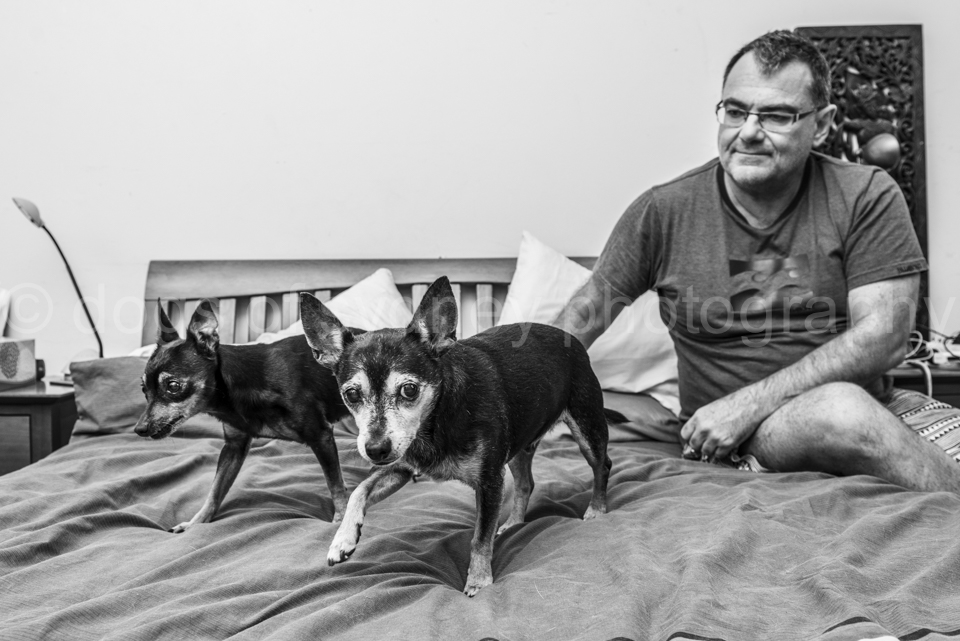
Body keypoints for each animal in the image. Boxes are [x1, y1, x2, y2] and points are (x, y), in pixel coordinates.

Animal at [134, 300, 351, 532]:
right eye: (143, 389)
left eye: (173, 386)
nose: (139, 429)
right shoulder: (234, 446)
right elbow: (215, 491)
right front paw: (195, 523)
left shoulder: (321, 436)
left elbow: (335, 484)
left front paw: (341, 519)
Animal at [300, 276, 612, 596]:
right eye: (351, 394)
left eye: (409, 390)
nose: (375, 449)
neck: (434, 423)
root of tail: (571, 339)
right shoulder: (400, 467)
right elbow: (359, 490)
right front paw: (342, 539)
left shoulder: (489, 482)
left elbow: (480, 538)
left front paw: (479, 581)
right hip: (518, 446)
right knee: (526, 484)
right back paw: (514, 523)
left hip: (587, 429)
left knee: (602, 466)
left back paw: (596, 509)